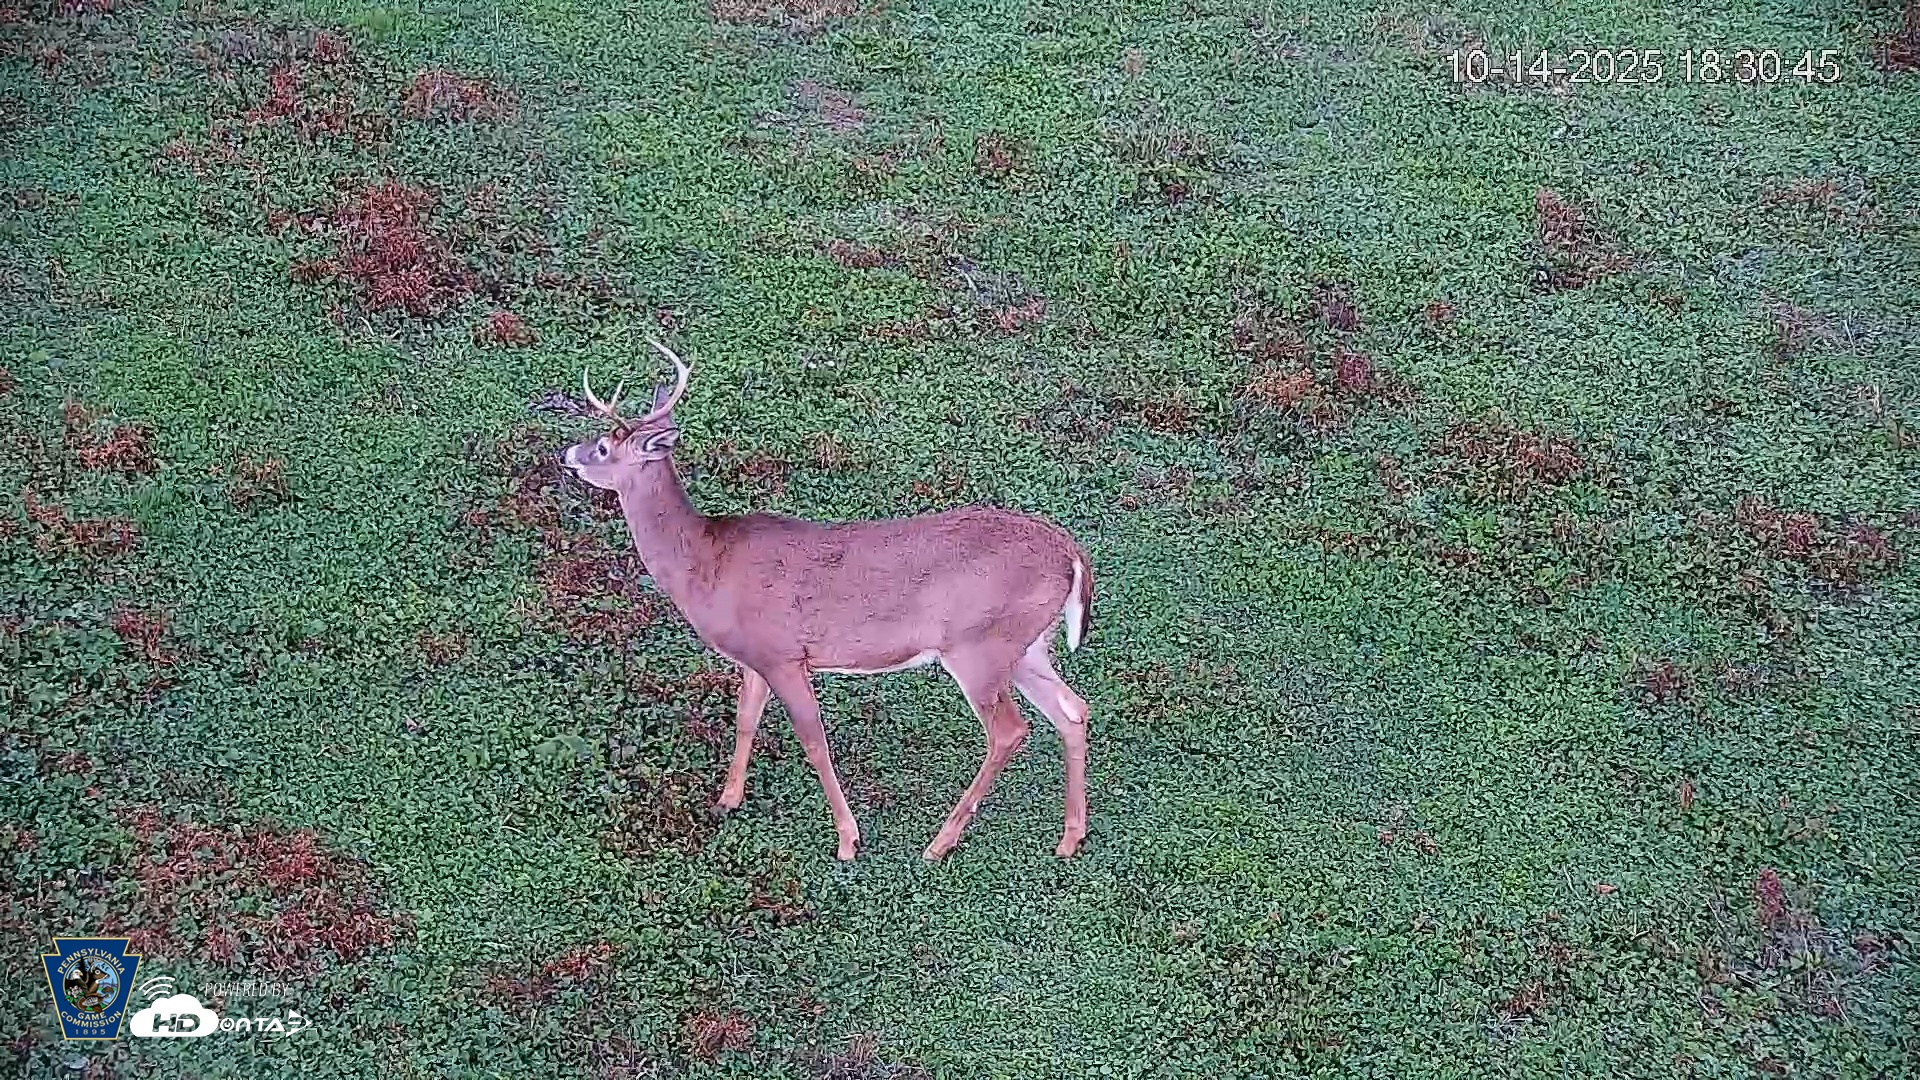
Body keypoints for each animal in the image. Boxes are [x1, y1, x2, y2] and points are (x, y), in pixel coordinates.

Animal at [558, 338, 1095, 862]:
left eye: (603, 446)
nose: (568, 454)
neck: (706, 566)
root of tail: (1070, 553)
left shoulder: (783, 654)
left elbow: (814, 740)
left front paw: (847, 840)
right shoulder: (755, 657)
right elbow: (746, 719)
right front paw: (727, 800)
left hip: (977, 644)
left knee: (1009, 730)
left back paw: (940, 842)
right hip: (1026, 644)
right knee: (1073, 709)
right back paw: (1070, 838)